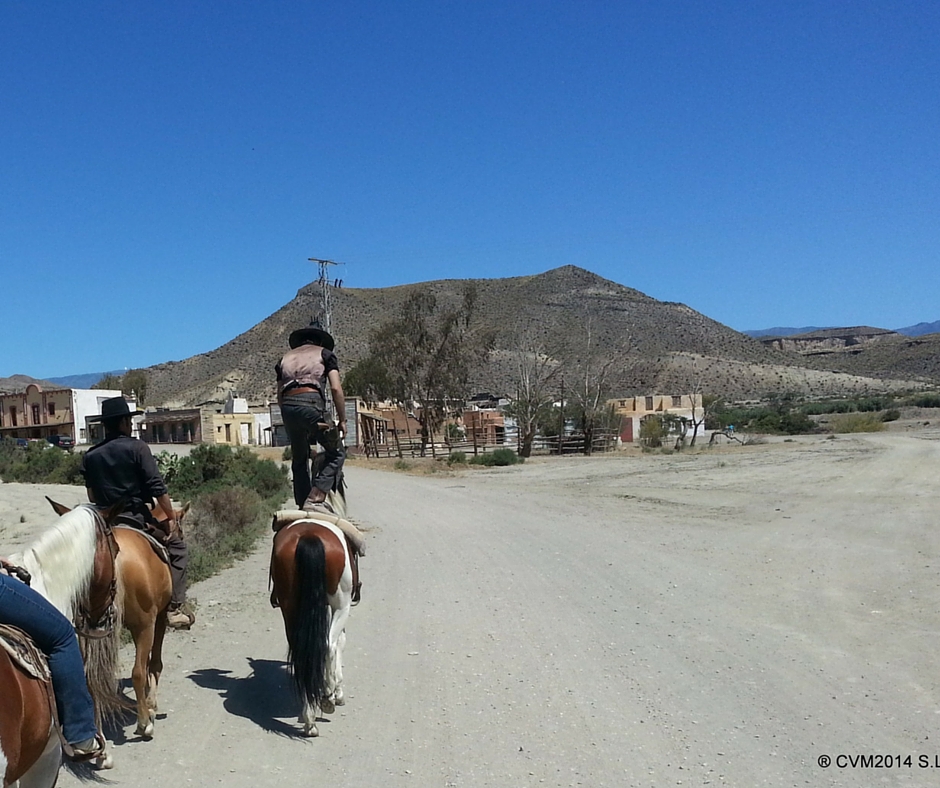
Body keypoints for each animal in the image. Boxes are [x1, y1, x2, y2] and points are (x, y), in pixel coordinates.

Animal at [44, 502, 180, 740]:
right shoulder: (158, 618)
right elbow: (153, 664)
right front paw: (151, 705)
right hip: (145, 624)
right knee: (137, 672)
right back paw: (144, 723)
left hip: (86, 628)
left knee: (88, 676)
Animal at [274, 484, 358, 736]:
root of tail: (309, 536)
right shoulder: (339, 608)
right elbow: (339, 643)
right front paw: (337, 691)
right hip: (341, 605)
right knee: (328, 645)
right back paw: (326, 700)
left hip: (290, 607)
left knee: (302, 651)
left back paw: (309, 717)